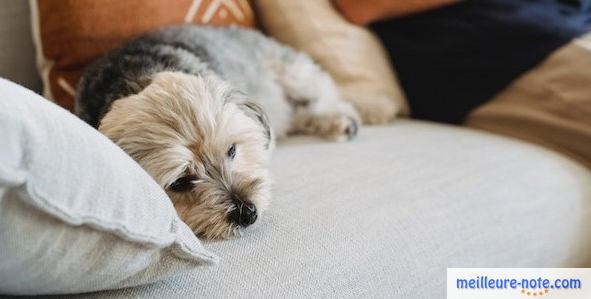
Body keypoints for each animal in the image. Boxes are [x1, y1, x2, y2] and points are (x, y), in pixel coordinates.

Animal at [75, 26, 360, 241]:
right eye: (180, 182)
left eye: (232, 150)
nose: (248, 213)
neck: (135, 79)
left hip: (293, 73)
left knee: (325, 94)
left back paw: (342, 120)